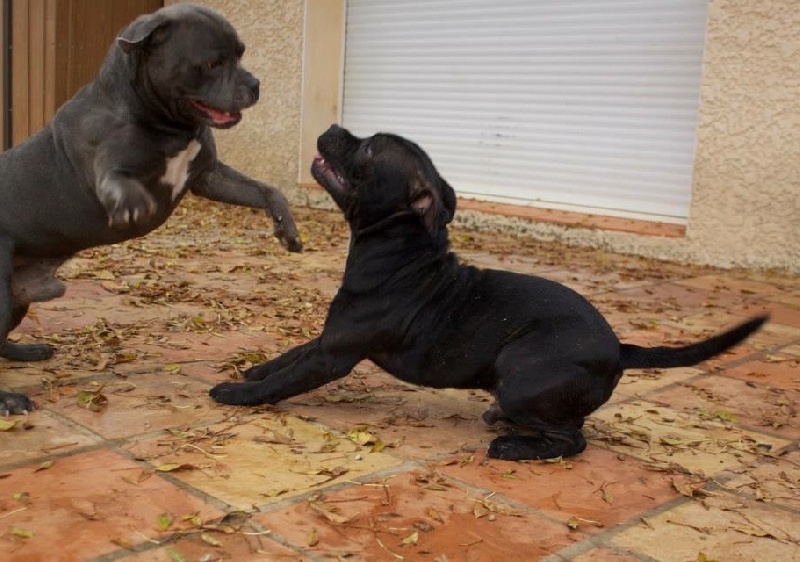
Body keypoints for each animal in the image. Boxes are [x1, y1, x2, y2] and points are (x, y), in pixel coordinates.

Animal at [0, 3, 304, 416]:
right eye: (212, 63)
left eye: (241, 53)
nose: (256, 84)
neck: (163, 121)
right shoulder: (107, 167)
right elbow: (119, 182)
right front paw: (133, 204)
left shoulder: (208, 176)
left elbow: (267, 189)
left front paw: (286, 228)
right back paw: (10, 399)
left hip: (14, 301)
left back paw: (25, 352)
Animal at [211, 124, 768, 458]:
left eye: (368, 148)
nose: (330, 128)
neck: (400, 250)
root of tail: (620, 348)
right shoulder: (331, 338)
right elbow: (289, 355)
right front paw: (255, 369)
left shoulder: (336, 354)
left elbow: (284, 381)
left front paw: (238, 393)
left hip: (520, 368)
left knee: (574, 439)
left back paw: (515, 446)